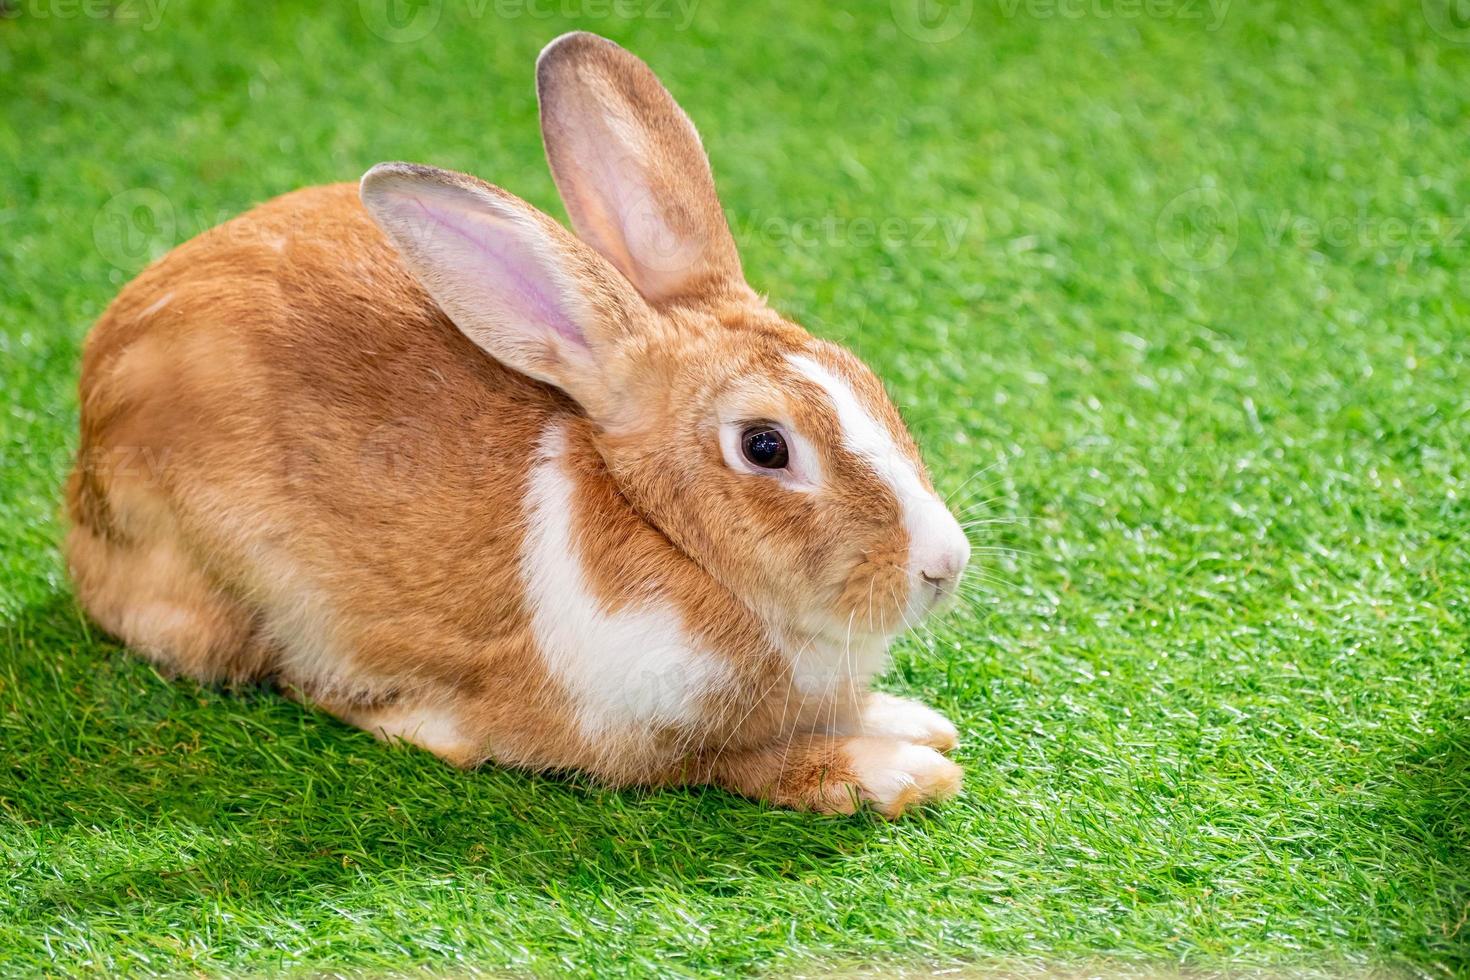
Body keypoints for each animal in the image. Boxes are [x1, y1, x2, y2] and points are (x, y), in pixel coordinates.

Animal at [66, 30, 976, 816]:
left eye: (864, 376)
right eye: (764, 446)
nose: (944, 565)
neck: (670, 538)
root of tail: (85, 451)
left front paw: (912, 718)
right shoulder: (639, 739)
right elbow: (742, 761)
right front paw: (901, 771)